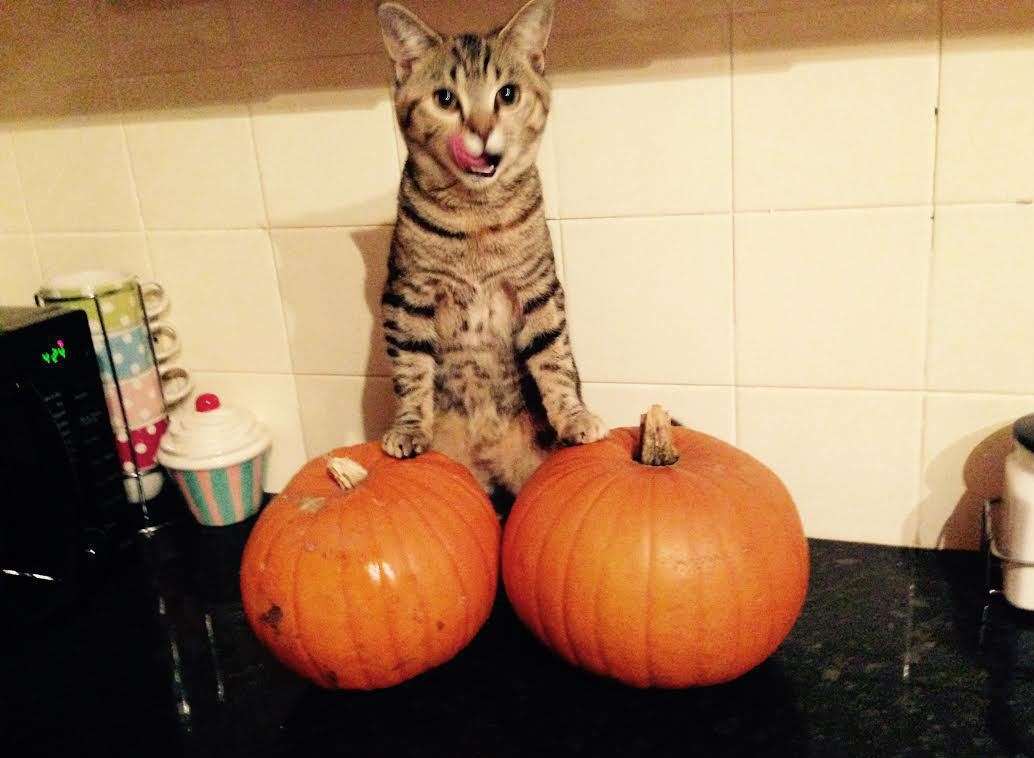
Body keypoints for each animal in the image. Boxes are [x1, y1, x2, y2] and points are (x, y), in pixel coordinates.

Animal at [378, 0, 603, 496]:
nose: (480, 131)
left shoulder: (538, 287)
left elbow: (555, 356)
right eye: (445, 99)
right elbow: (411, 367)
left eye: (508, 94)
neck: (476, 213)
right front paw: (409, 427)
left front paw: (574, 416)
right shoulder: (408, 295)